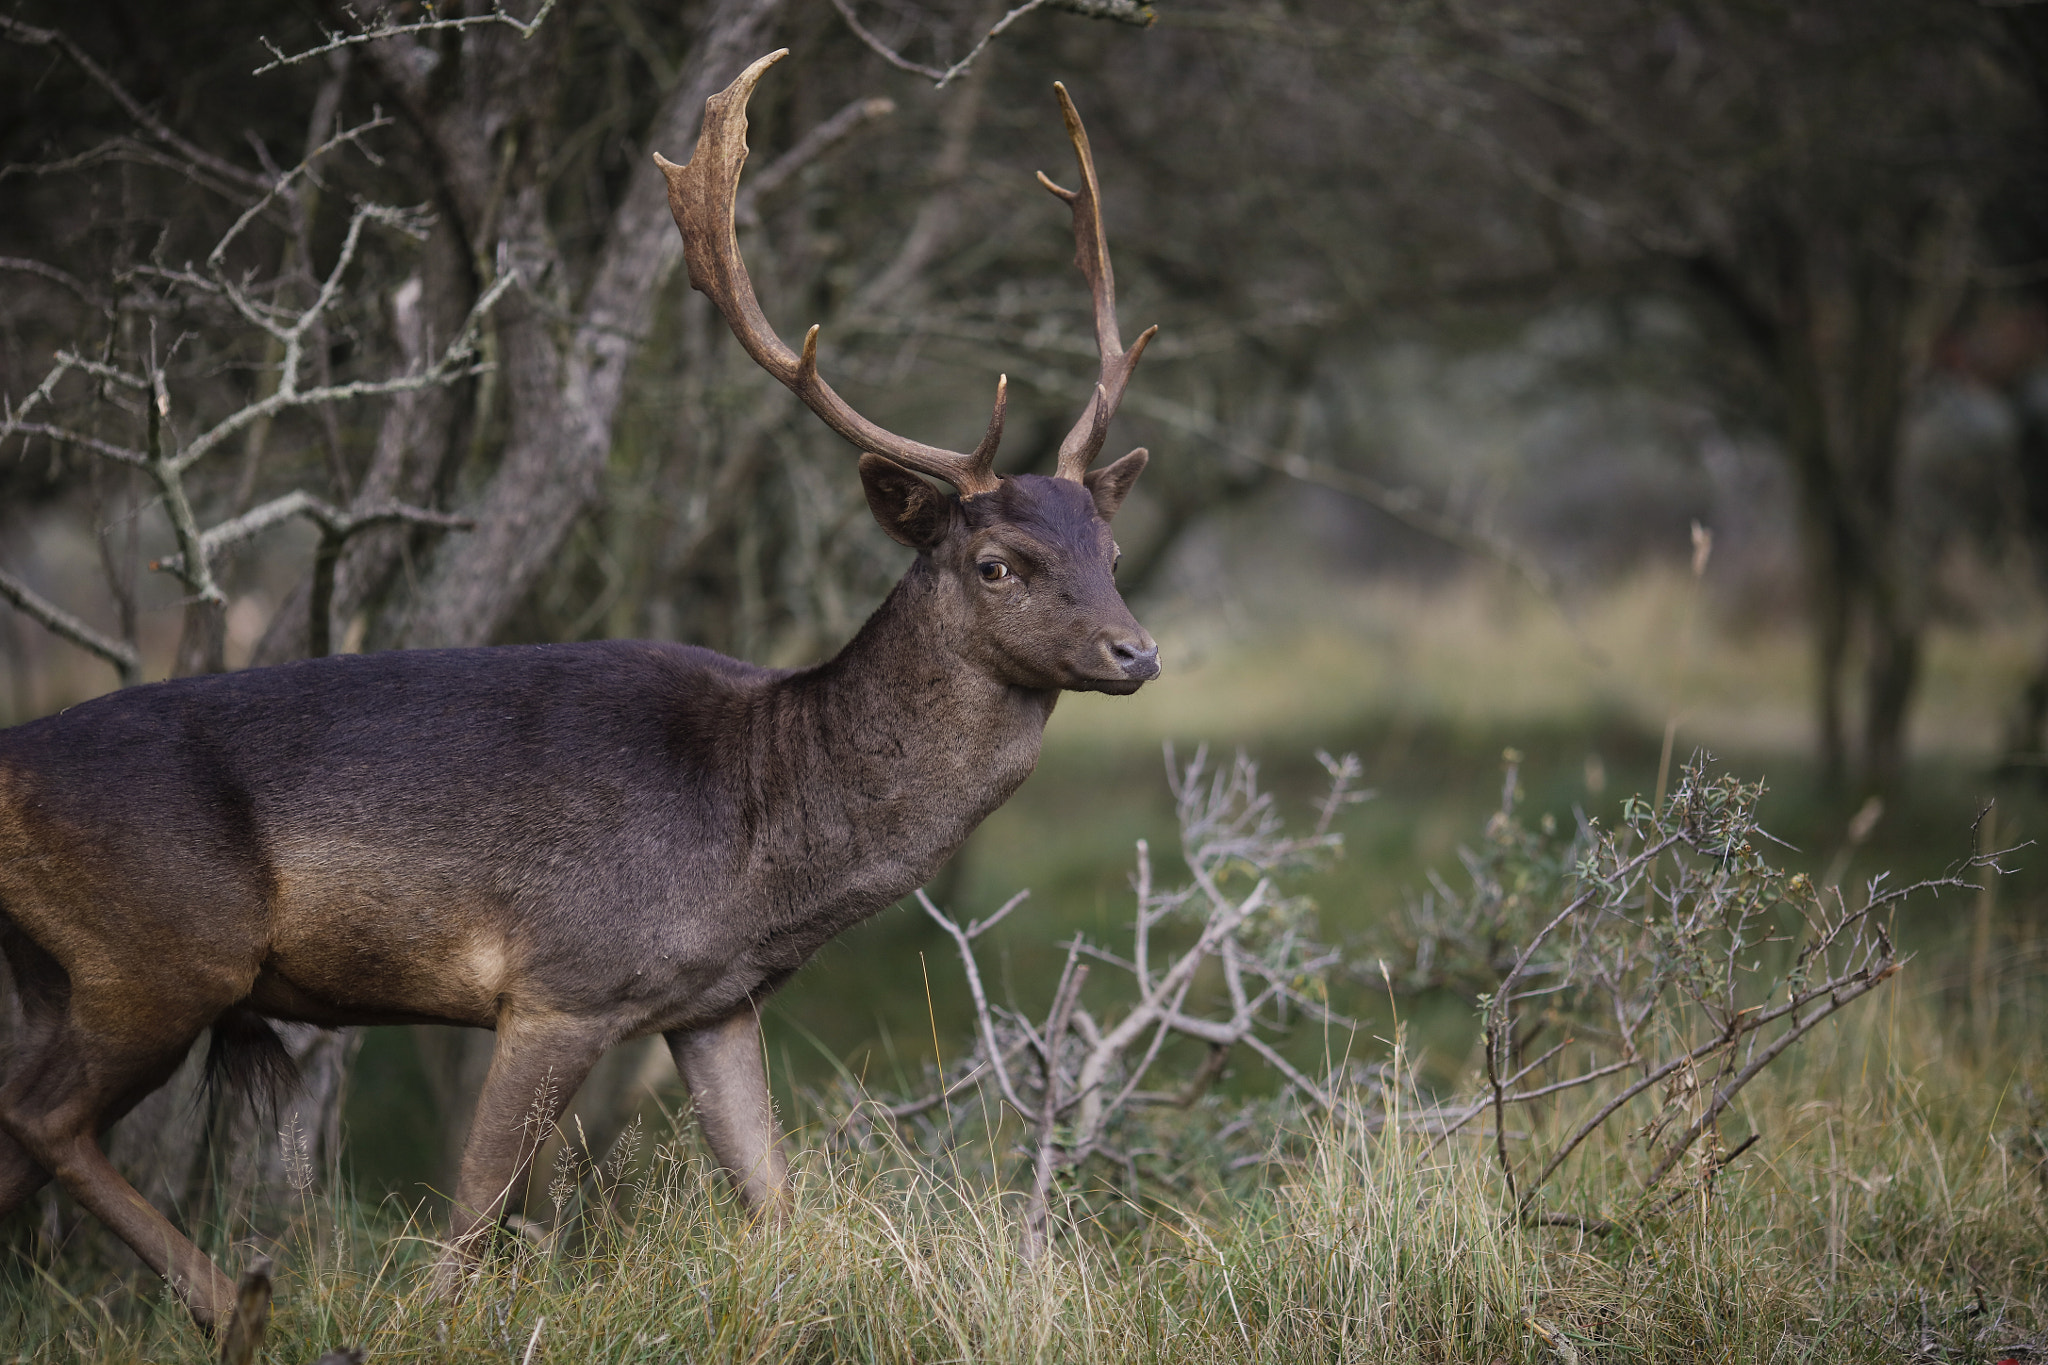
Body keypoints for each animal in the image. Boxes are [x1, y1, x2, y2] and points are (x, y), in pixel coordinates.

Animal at [0, 53, 1155, 1334]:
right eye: (996, 563)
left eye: (1109, 545)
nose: (1132, 652)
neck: (761, 833)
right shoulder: (563, 977)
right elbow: (471, 1222)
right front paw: (429, 1326)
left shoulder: (710, 1003)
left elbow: (773, 1199)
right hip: (157, 951)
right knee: (44, 1118)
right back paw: (245, 1305)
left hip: (60, 972)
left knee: (18, 1131)